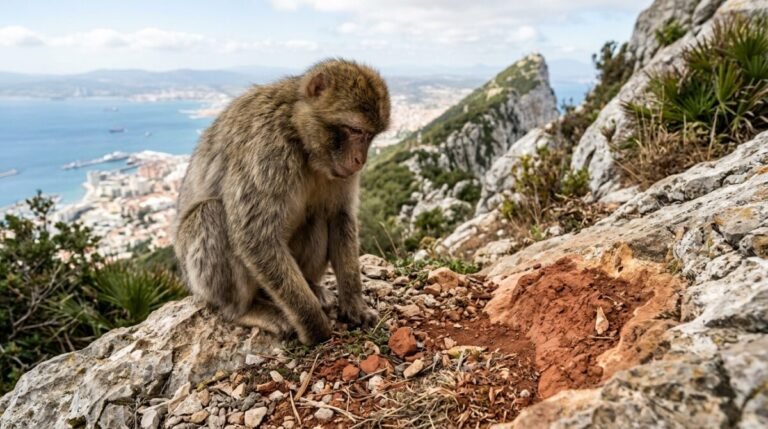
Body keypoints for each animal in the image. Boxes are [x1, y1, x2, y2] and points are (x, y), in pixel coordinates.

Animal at [174, 59, 390, 345]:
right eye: (355, 130)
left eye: (371, 135)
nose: (360, 160)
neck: (300, 136)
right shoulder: (268, 151)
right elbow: (256, 237)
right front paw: (314, 326)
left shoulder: (339, 172)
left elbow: (339, 216)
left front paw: (354, 303)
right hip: (198, 280)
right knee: (210, 213)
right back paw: (244, 310)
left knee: (318, 216)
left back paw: (312, 286)